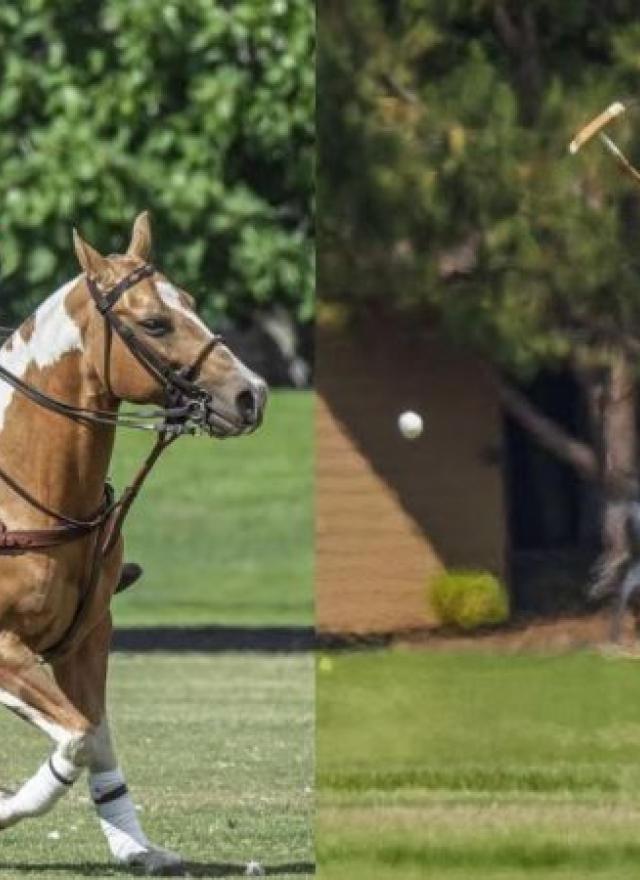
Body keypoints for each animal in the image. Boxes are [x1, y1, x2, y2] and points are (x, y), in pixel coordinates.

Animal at [0, 211, 268, 872]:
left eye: (191, 303)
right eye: (154, 323)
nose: (252, 394)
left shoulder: (87, 637)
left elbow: (96, 736)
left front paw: (136, 847)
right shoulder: (5, 647)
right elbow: (77, 738)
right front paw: (6, 808)